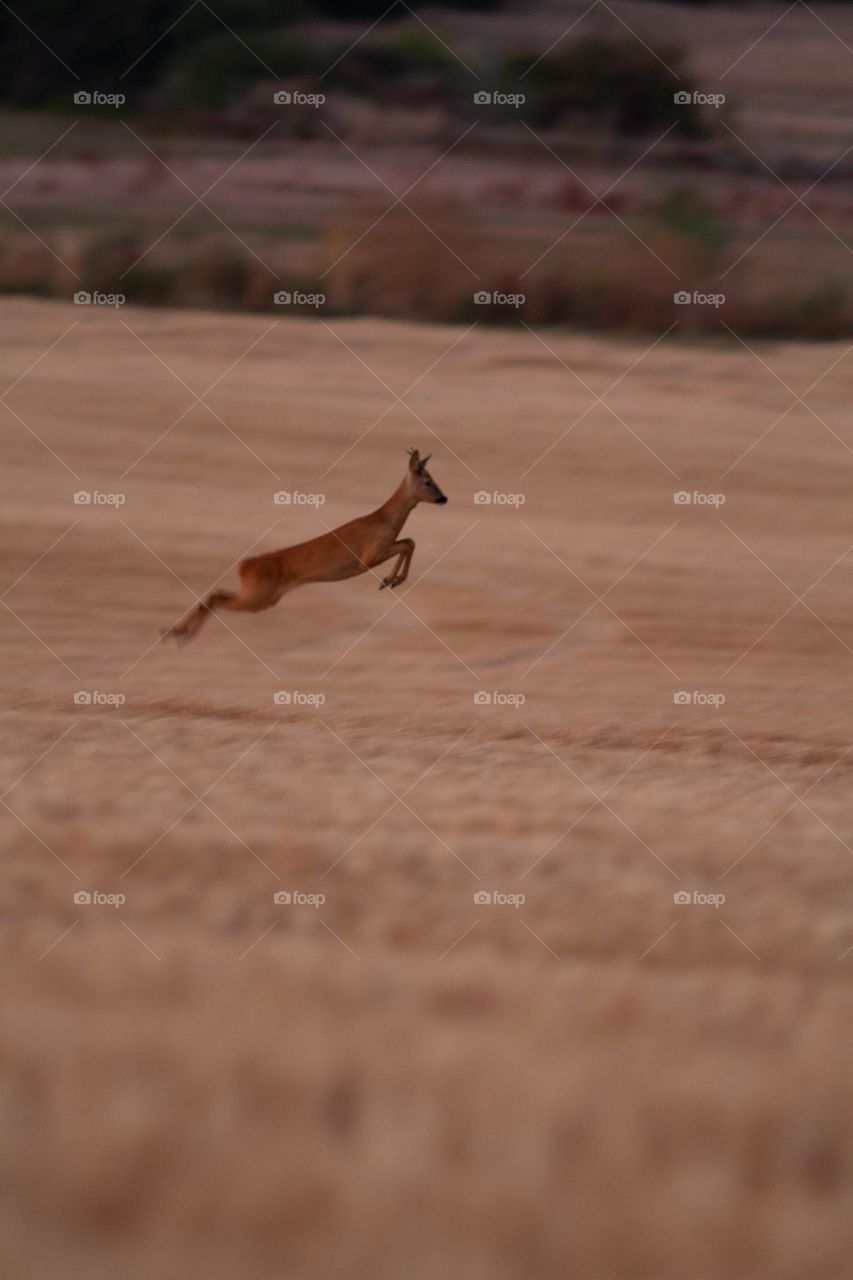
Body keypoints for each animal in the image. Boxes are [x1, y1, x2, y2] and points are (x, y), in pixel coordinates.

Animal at [162, 449, 448, 645]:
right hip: (258, 597)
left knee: (213, 595)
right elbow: (407, 544)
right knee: (214, 597)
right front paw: (389, 580)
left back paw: (175, 634)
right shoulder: (369, 556)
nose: (443, 498)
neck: (384, 520)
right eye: (427, 481)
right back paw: (177, 634)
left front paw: (391, 580)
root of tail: (243, 567)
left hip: (263, 598)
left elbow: (409, 541)